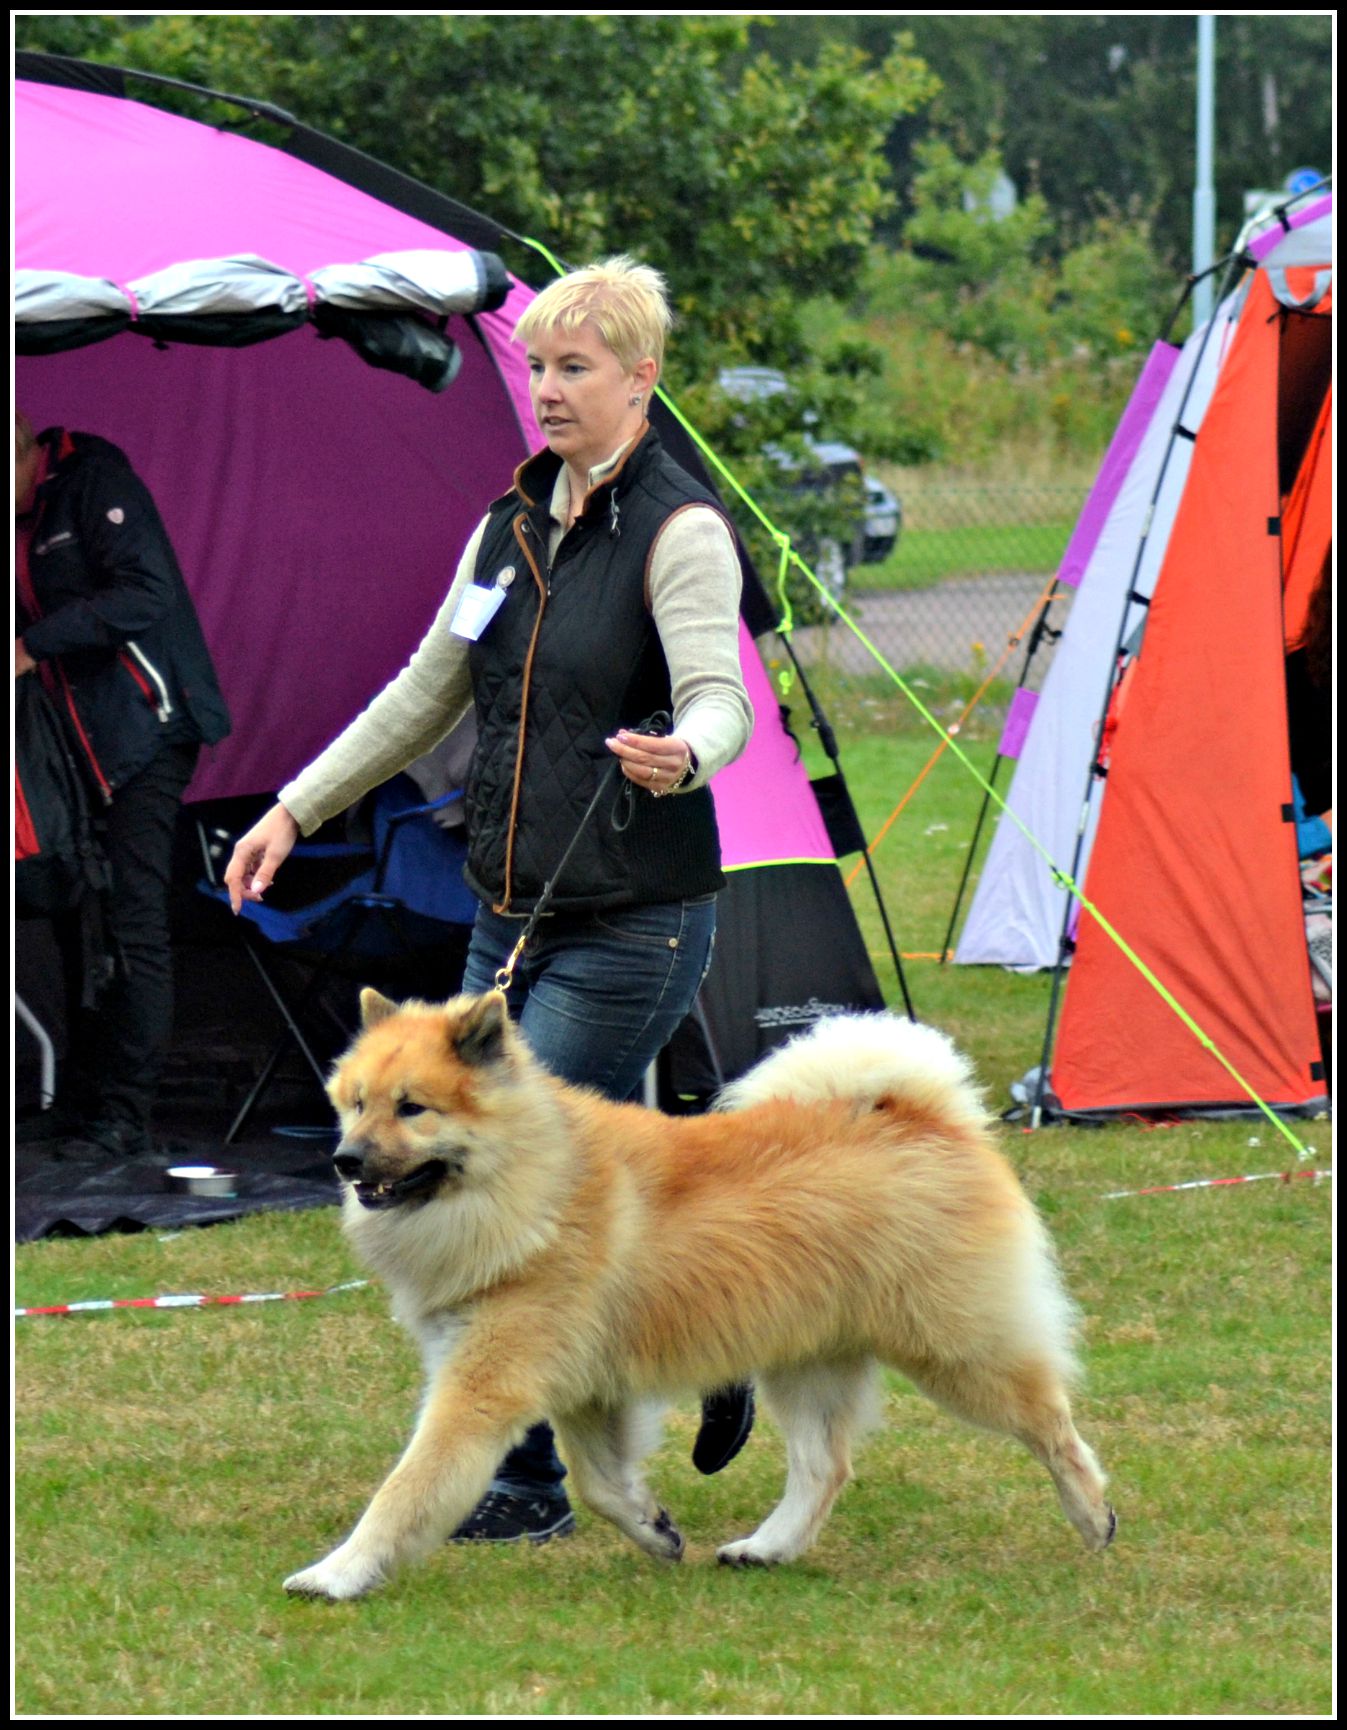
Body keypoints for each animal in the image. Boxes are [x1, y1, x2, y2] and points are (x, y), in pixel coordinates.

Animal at [283, 989, 1115, 1600]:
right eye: (354, 1103)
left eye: (411, 1108)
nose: (345, 1159)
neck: (530, 1184)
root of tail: (919, 1114)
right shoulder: (582, 1386)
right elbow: (599, 1482)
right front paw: (655, 1528)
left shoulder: (484, 1384)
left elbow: (407, 1488)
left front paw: (337, 1573)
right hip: (806, 1361)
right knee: (823, 1467)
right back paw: (767, 1547)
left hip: (956, 1352)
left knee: (1050, 1424)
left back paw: (1093, 1515)